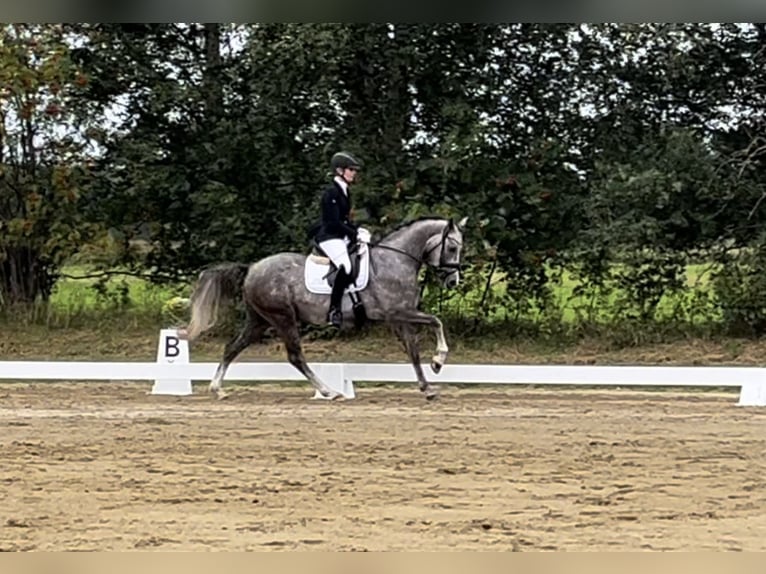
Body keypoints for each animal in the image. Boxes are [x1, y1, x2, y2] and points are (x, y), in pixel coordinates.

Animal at [182, 216, 468, 400]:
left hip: (259, 320)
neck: (395, 260)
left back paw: (217, 389)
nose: (453, 281)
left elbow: (413, 352)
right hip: (283, 318)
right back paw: (328, 391)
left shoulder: (398, 318)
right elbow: (436, 321)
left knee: (232, 347)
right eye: (452, 247)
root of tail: (251, 268)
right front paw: (438, 362)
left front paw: (428, 386)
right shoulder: (398, 313)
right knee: (295, 356)